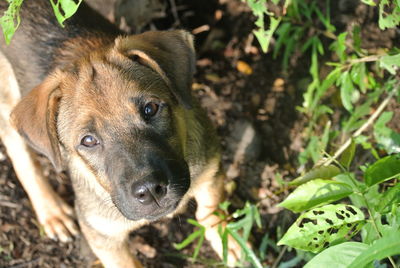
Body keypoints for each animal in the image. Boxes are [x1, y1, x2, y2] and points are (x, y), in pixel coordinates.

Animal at [0, 1, 241, 266]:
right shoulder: (102, 235)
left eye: (150, 109)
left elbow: (211, 211)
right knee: (20, 153)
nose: (150, 191)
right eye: (88, 141)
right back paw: (52, 212)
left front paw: (229, 244)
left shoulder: (211, 171)